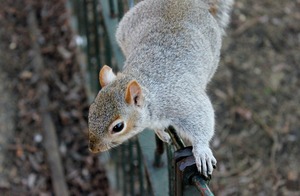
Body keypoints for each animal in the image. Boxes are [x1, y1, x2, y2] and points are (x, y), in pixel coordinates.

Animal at [89, 0, 234, 178]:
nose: (93, 148)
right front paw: (161, 132)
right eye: (91, 110)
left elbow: (201, 119)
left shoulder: (182, 101)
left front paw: (202, 151)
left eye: (118, 127)